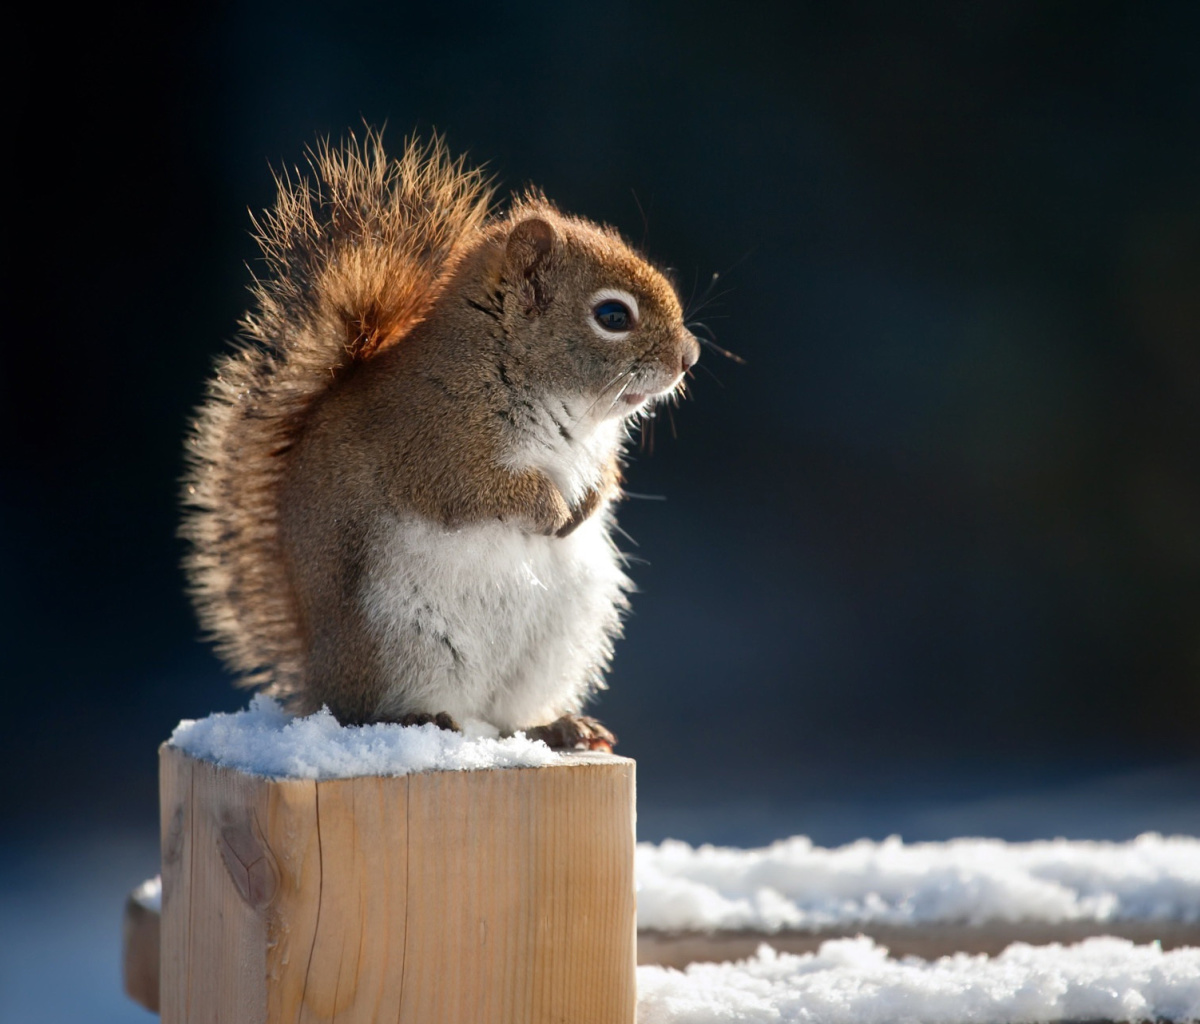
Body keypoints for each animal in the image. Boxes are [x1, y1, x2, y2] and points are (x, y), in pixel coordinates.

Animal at [181, 132, 700, 749]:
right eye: (614, 315)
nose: (690, 357)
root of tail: (316, 684)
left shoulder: (594, 452)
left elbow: (605, 479)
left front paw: (585, 506)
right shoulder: (431, 445)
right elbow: (475, 491)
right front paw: (551, 509)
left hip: (555, 646)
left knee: (509, 719)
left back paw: (560, 726)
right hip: (394, 643)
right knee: (370, 712)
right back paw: (420, 720)